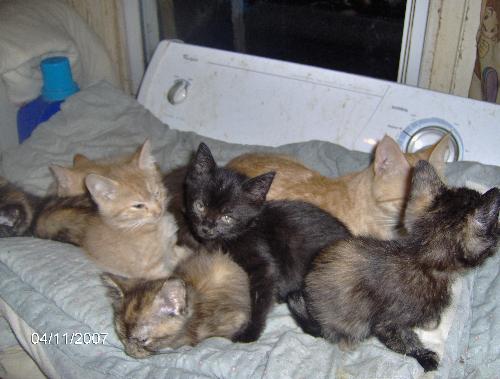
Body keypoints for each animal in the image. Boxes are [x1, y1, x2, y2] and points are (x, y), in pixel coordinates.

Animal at [182, 143, 350, 344]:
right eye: (200, 206)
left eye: (227, 217)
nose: (206, 228)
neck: (246, 228)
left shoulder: (264, 264)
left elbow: (260, 299)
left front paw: (250, 332)